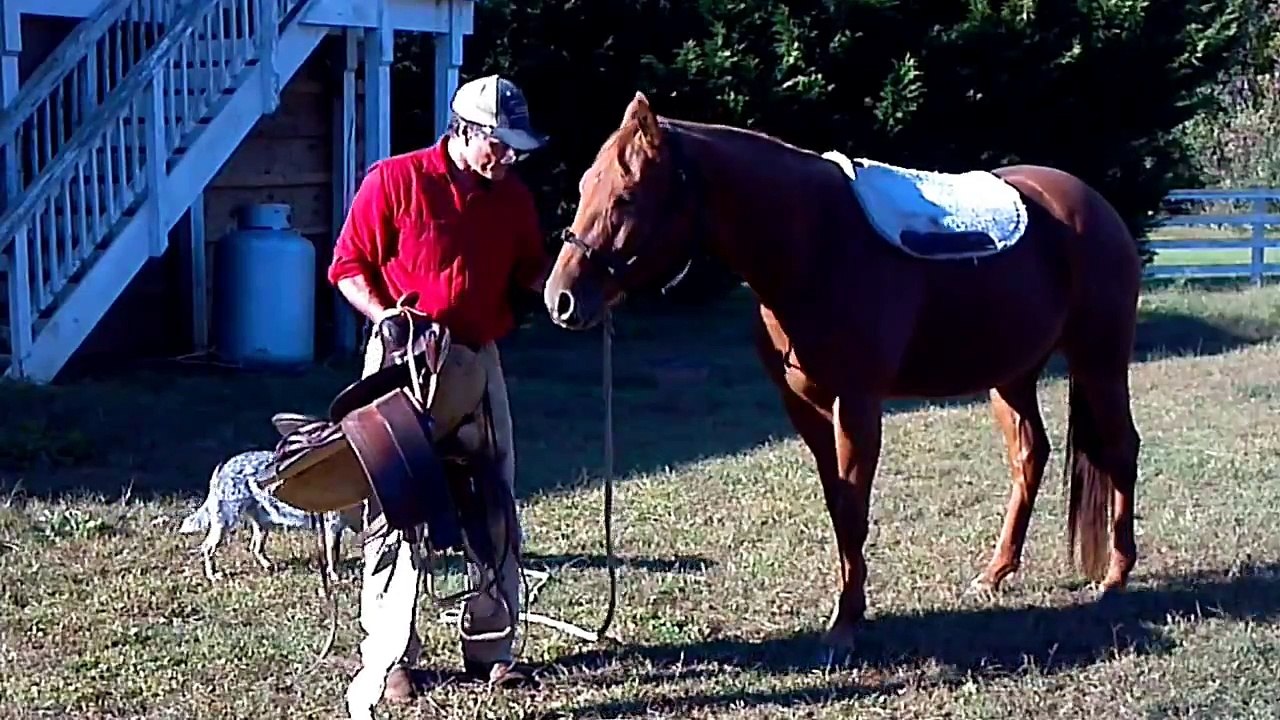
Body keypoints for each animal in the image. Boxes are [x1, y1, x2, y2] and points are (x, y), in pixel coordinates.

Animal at [541, 92, 1142, 653]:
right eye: (584, 189)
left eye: (626, 198)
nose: (560, 300)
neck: (816, 246)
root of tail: (1092, 205)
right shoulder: (805, 406)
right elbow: (837, 504)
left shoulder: (856, 403)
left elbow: (853, 507)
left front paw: (846, 623)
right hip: (1011, 375)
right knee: (1030, 456)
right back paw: (995, 574)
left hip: (1099, 361)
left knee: (1121, 448)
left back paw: (1115, 576)